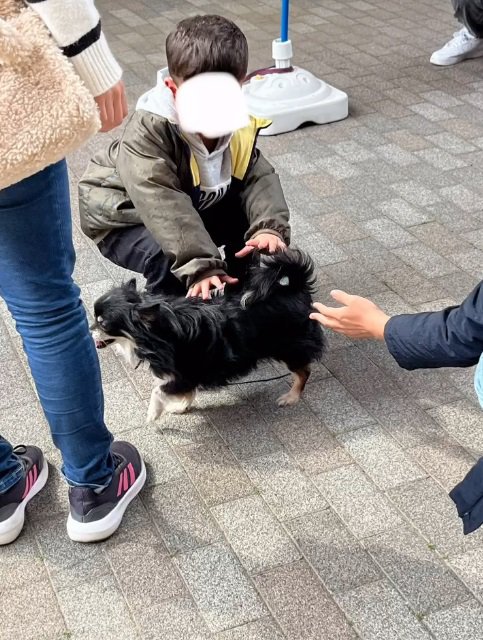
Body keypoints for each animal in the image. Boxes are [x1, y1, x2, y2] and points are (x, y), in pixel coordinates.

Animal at [91, 246, 326, 420]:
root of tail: (295, 288)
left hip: (289, 348)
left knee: (303, 372)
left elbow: (158, 390)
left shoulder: (183, 373)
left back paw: (291, 396)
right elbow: (186, 392)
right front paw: (180, 407)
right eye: (94, 319)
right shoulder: (189, 376)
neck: (159, 331)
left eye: (103, 324)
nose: (90, 330)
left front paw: (153, 414)